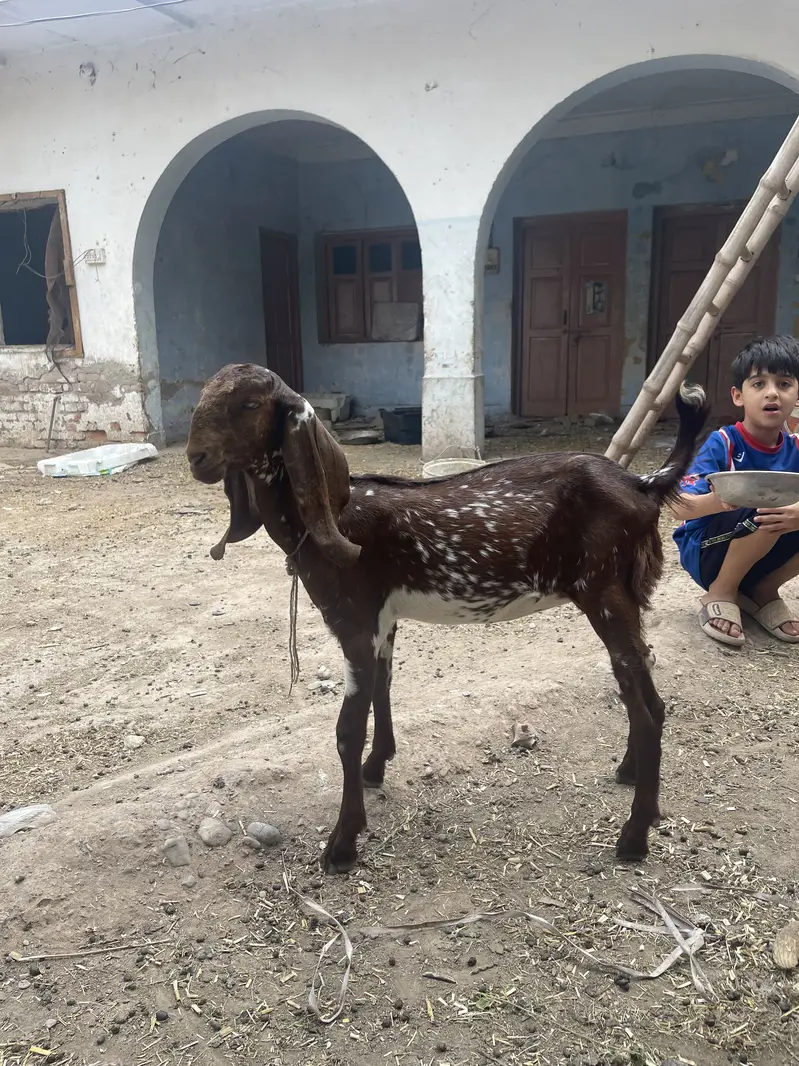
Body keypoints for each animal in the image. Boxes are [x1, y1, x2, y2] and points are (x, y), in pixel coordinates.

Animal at [187, 365, 709, 873]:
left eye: (250, 403)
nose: (196, 457)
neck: (334, 516)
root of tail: (642, 485)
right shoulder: (383, 620)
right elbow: (383, 687)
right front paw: (376, 767)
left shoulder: (353, 622)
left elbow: (346, 731)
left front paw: (342, 845)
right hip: (623, 598)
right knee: (643, 690)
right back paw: (629, 772)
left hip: (604, 595)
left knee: (645, 708)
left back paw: (634, 837)